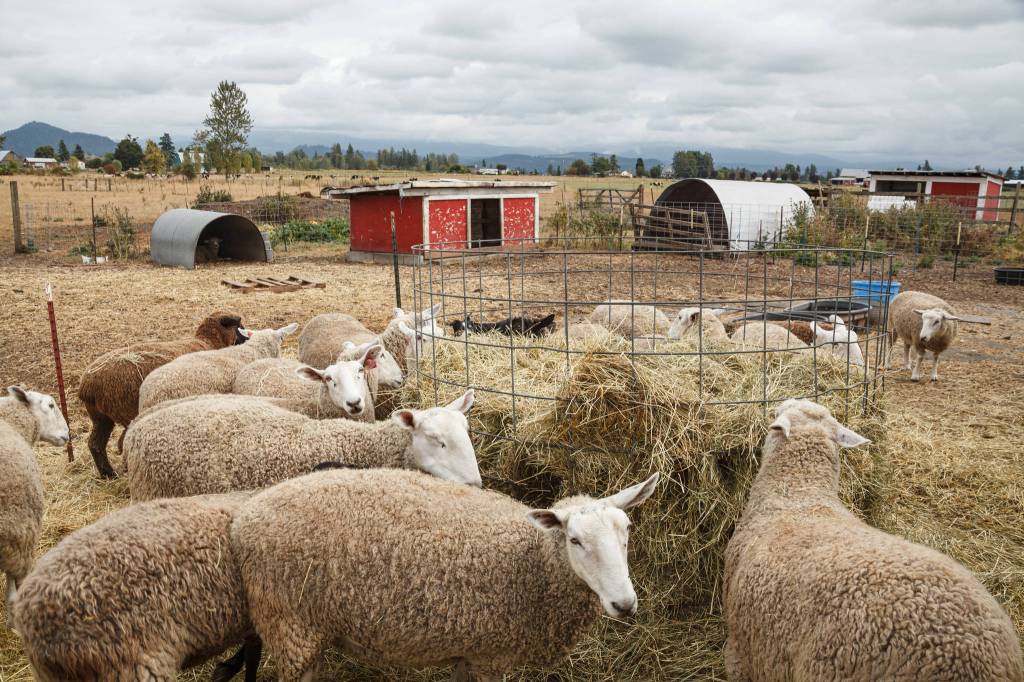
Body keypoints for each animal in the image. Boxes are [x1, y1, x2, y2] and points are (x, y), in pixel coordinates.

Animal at [77, 311, 243, 478]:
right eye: (239, 326)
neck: (209, 342)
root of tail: (88, 386)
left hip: (100, 417)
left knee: (95, 444)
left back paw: (108, 475)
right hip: (126, 412)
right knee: (120, 443)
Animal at [229, 468, 660, 681]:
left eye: (627, 530)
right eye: (574, 540)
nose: (624, 603)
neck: (530, 562)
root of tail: (246, 516)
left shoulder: (469, 651)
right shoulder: (491, 657)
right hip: (289, 622)